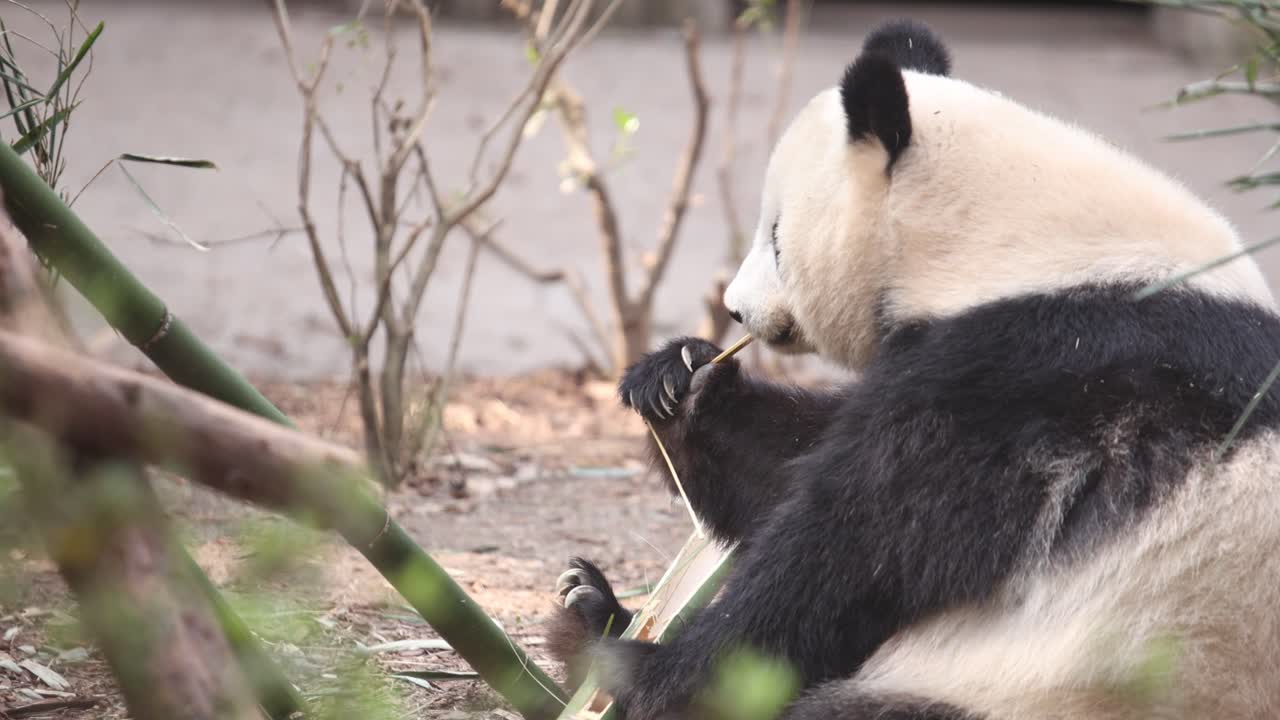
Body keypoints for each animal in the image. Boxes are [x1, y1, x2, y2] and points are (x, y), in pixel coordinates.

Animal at [546, 18, 1280, 720]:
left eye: (778, 239)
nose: (733, 309)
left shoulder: (1040, 374)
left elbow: (861, 542)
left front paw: (633, 669)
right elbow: (794, 462)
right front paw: (681, 384)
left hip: (1061, 687)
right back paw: (588, 604)